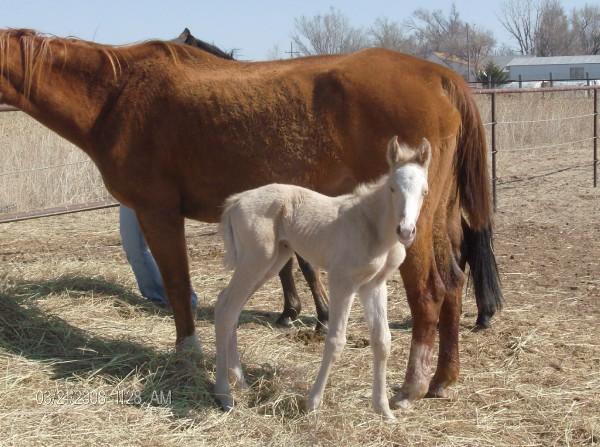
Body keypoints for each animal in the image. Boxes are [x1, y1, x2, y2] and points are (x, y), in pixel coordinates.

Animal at [216, 136, 432, 420]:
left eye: (424, 191)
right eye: (393, 188)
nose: (406, 231)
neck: (372, 227)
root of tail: (237, 199)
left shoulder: (374, 285)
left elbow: (382, 340)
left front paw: (384, 410)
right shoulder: (342, 282)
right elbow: (336, 339)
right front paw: (313, 403)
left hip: (271, 262)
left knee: (228, 306)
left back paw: (239, 382)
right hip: (256, 260)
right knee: (227, 310)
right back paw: (224, 395)